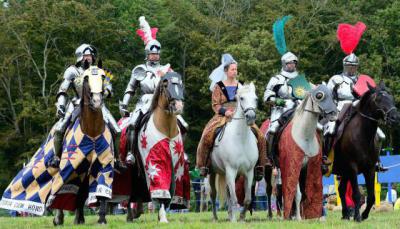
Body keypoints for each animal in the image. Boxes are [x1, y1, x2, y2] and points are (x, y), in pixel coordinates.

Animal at [51, 62, 114, 225]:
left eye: (102, 77)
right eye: (85, 79)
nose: (97, 101)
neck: (91, 130)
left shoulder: (103, 162)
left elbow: (102, 189)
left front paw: (102, 218)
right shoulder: (70, 165)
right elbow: (61, 187)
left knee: (81, 194)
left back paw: (79, 218)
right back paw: (59, 218)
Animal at [209, 83, 260, 222]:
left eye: (256, 99)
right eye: (241, 98)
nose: (251, 117)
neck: (241, 139)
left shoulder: (249, 172)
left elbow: (247, 199)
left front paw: (241, 218)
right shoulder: (231, 170)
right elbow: (234, 198)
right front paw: (234, 220)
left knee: (227, 192)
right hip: (212, 172)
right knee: (213, 194)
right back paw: (215, 217)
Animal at [276, 85, 338, 220]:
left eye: (332, 94)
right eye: (319, 95)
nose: (334, 115)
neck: (304, 135)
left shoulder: (310, 167)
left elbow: (307, 193)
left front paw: (310, 216)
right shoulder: (294, 166)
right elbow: (297, 193)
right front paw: (298, 218)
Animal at [332, 81, 400, 222]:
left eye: (391, 97)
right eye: (378, 99)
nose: (395, 118)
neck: (362, 135)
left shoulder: (370, 169)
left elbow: (371, 196)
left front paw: (364, 215)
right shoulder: (353, 168)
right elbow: (356, 194)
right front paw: (358, 216)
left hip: (344, 172)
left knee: (341, 190)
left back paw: (345, 214)